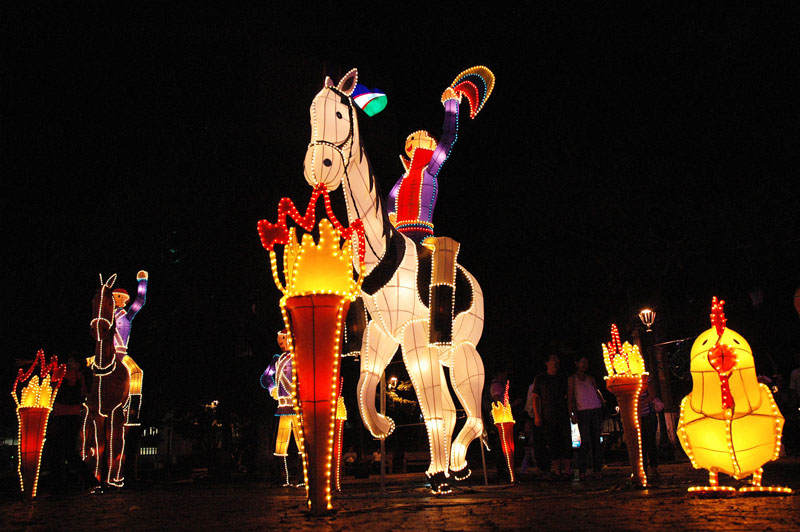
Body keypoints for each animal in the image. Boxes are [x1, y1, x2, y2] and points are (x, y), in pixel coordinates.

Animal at [82, 273, 140, 488]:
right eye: (92, 300)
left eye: (110, 301)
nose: (99, 328)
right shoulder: (97, 412)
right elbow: (101, 444)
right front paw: (98, 480)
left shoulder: (115, 410)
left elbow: (113, 443)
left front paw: (110, 480)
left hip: (125, 416)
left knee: (121, 440)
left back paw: (117, 477)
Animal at [303, 69, 486, 492]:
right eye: (312, 113)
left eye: (340, 112)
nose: (319, 167)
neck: (380, 250)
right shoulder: (384, 332)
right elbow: (363, 383)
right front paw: (382, 426)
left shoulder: (414, 332)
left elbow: (435, 409)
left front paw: (438, 475)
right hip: (441, 352)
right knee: (457, 411)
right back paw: (450, 467)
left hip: (463, 351)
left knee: (469, 413)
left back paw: (453, 468)